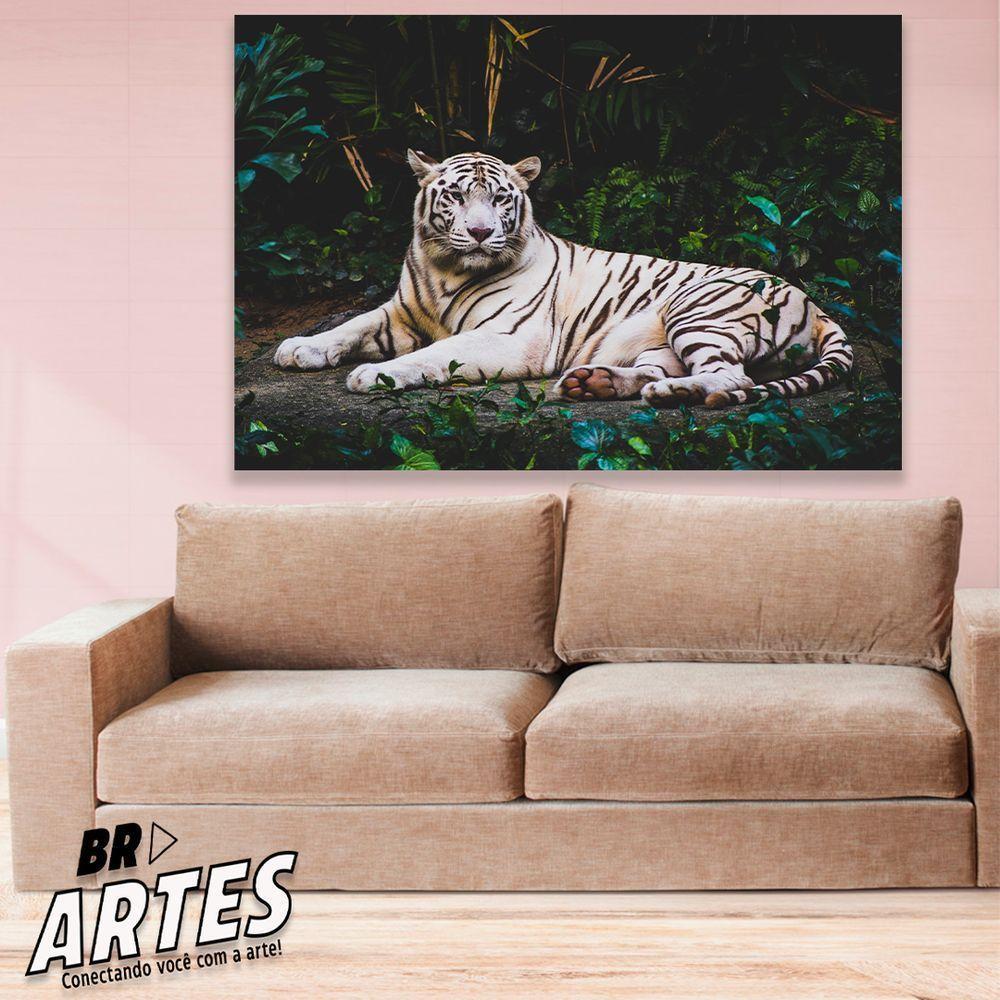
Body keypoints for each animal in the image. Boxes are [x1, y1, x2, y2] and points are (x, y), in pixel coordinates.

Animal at [274, 150, 852, 408]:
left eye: (500, 198)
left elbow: (435, 354)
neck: (446, 268)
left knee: (734, 378)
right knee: (661, 368)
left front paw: (375, 375)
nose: (481, 232)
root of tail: (817, 306)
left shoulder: (511, 337)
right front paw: (299, 348)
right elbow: (350, 324)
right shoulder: (400, 312)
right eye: (456, 196)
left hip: (698, 310)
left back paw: (673, 393)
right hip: (661, 339)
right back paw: (593, 382)